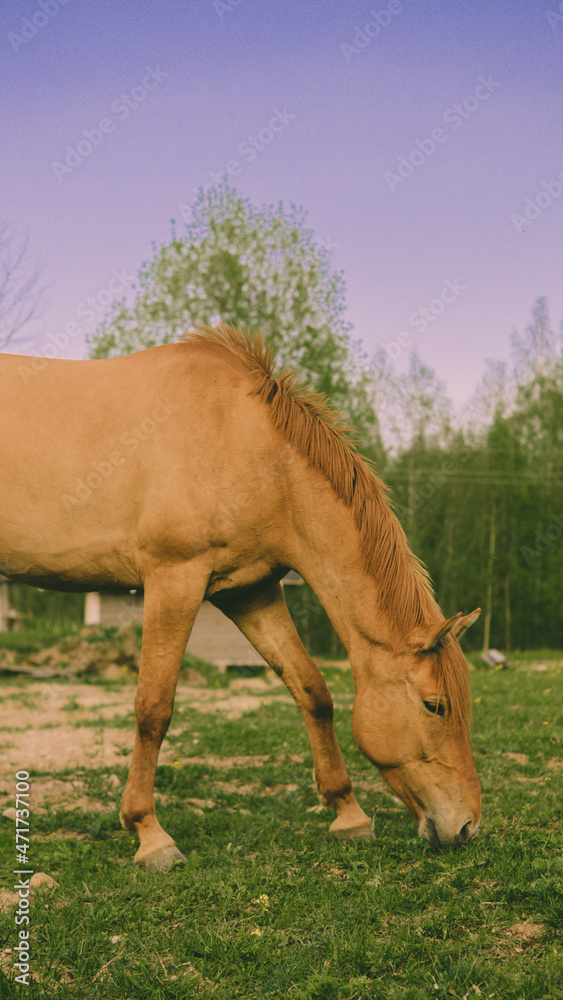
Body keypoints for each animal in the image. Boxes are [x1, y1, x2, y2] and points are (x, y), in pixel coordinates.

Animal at [0, 324, 481, 869]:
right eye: (435, 706)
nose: (467, 826)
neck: (249, 446)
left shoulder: (251, 592)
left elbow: (312, 690)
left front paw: (348, 814)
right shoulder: (174, 580)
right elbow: (153, 709)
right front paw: (150, 835)